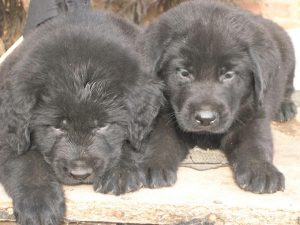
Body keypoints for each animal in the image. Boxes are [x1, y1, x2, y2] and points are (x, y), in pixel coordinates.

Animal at [0, 8, 163, 225]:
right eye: (57, 127)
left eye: (103, 125)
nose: (80, 174)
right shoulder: (8, 133)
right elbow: (25, 161)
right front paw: (38, 202)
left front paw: (120, 171)